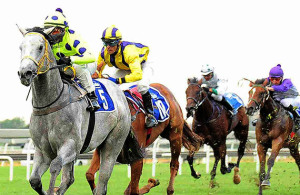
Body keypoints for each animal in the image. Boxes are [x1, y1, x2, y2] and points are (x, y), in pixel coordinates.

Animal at [17, 28, 130, 194]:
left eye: (40, 47)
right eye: (21, 47)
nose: (25, 73)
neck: (50, 103)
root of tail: (119, 92)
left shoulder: (71, 146)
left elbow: (55, 166)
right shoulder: (42, 151)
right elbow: (35, 180)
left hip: (114, 143)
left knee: (102, 180)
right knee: (68, 179)